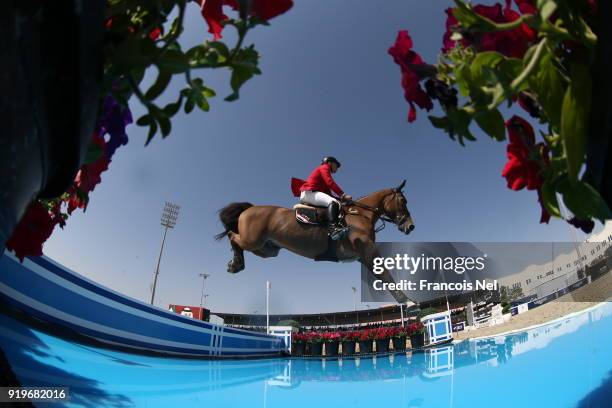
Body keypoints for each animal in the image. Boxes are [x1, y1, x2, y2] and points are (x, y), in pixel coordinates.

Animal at [215, 181, 416, 302]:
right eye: (403, 200)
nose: (410, 226)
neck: (361, 214)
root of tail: (249, 209)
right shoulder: (368, 251)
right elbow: (386, 275)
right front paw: (408, 302)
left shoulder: (364, 256)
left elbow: (384, 276)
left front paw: (405, 301)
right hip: (253, 241)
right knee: (232, 236)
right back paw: (235, 263)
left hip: (267, 249)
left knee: (240, 242)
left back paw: (236, 263)